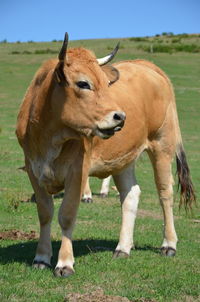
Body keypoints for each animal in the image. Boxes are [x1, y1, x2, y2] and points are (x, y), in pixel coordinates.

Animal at [16, 32, 195, 276]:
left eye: (106, 83)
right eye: (83, 83)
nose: (120, 116)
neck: (50, 137)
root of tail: (146, 64)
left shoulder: (77, 170)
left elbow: (67, 214)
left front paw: (65, 263)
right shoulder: (33, 169)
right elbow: (45, 212)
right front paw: (41, 258)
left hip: (162, 145)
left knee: (165, 192)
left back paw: (168, 244)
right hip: (124, 157)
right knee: (130, 194)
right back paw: (123, 247)